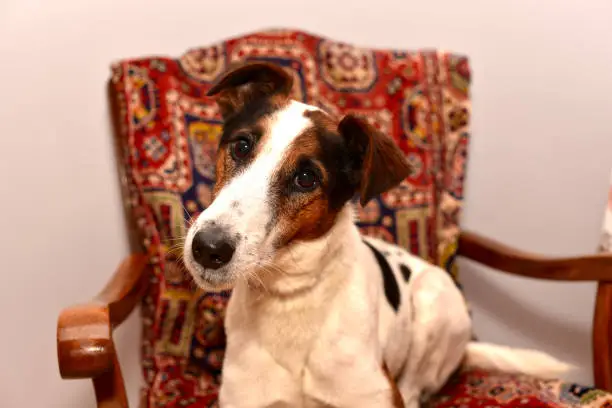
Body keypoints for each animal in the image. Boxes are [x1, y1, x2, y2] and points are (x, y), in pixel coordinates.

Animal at [180, 61, 568, 408]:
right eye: (241, 146)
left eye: (306, 179)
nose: (208, 248)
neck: (289, 296)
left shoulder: (376, 395)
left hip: (435, 302)